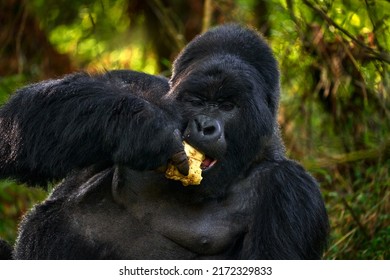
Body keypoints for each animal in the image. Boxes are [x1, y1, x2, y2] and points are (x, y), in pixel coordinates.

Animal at [0, 24, 330, 260]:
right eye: (197, 101)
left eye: (227, 106)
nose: (205, 126)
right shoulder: (146, 84)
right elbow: (23, 117)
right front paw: (141, 129)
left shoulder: (291, 191)